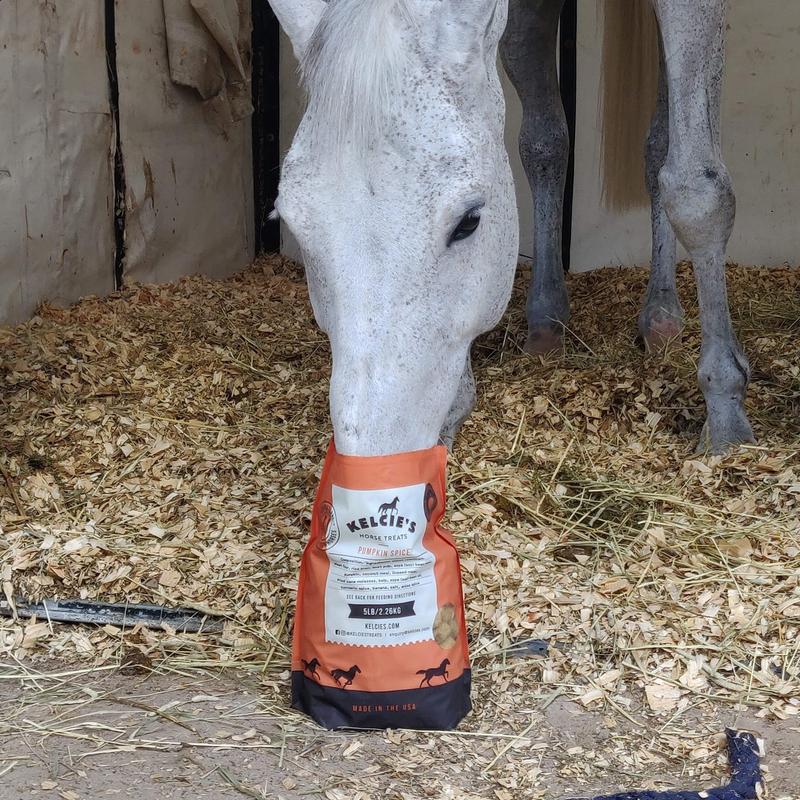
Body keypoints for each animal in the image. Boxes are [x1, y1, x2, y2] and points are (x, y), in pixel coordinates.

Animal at [267, 0, 750, 455]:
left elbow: (696, 192)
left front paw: (725, 408)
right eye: (291, 222)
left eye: (469, 222)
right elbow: (544, 142)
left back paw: (662, 316)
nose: (379, 459)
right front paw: (541, 323)